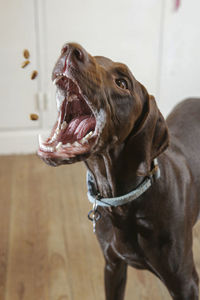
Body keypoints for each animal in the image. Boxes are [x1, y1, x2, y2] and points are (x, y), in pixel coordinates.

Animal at [38, 43, 200, 298]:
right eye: (97, 58)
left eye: (122, 83)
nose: (70, 49)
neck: (124, 204)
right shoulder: (113, 266)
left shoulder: (186, 284)